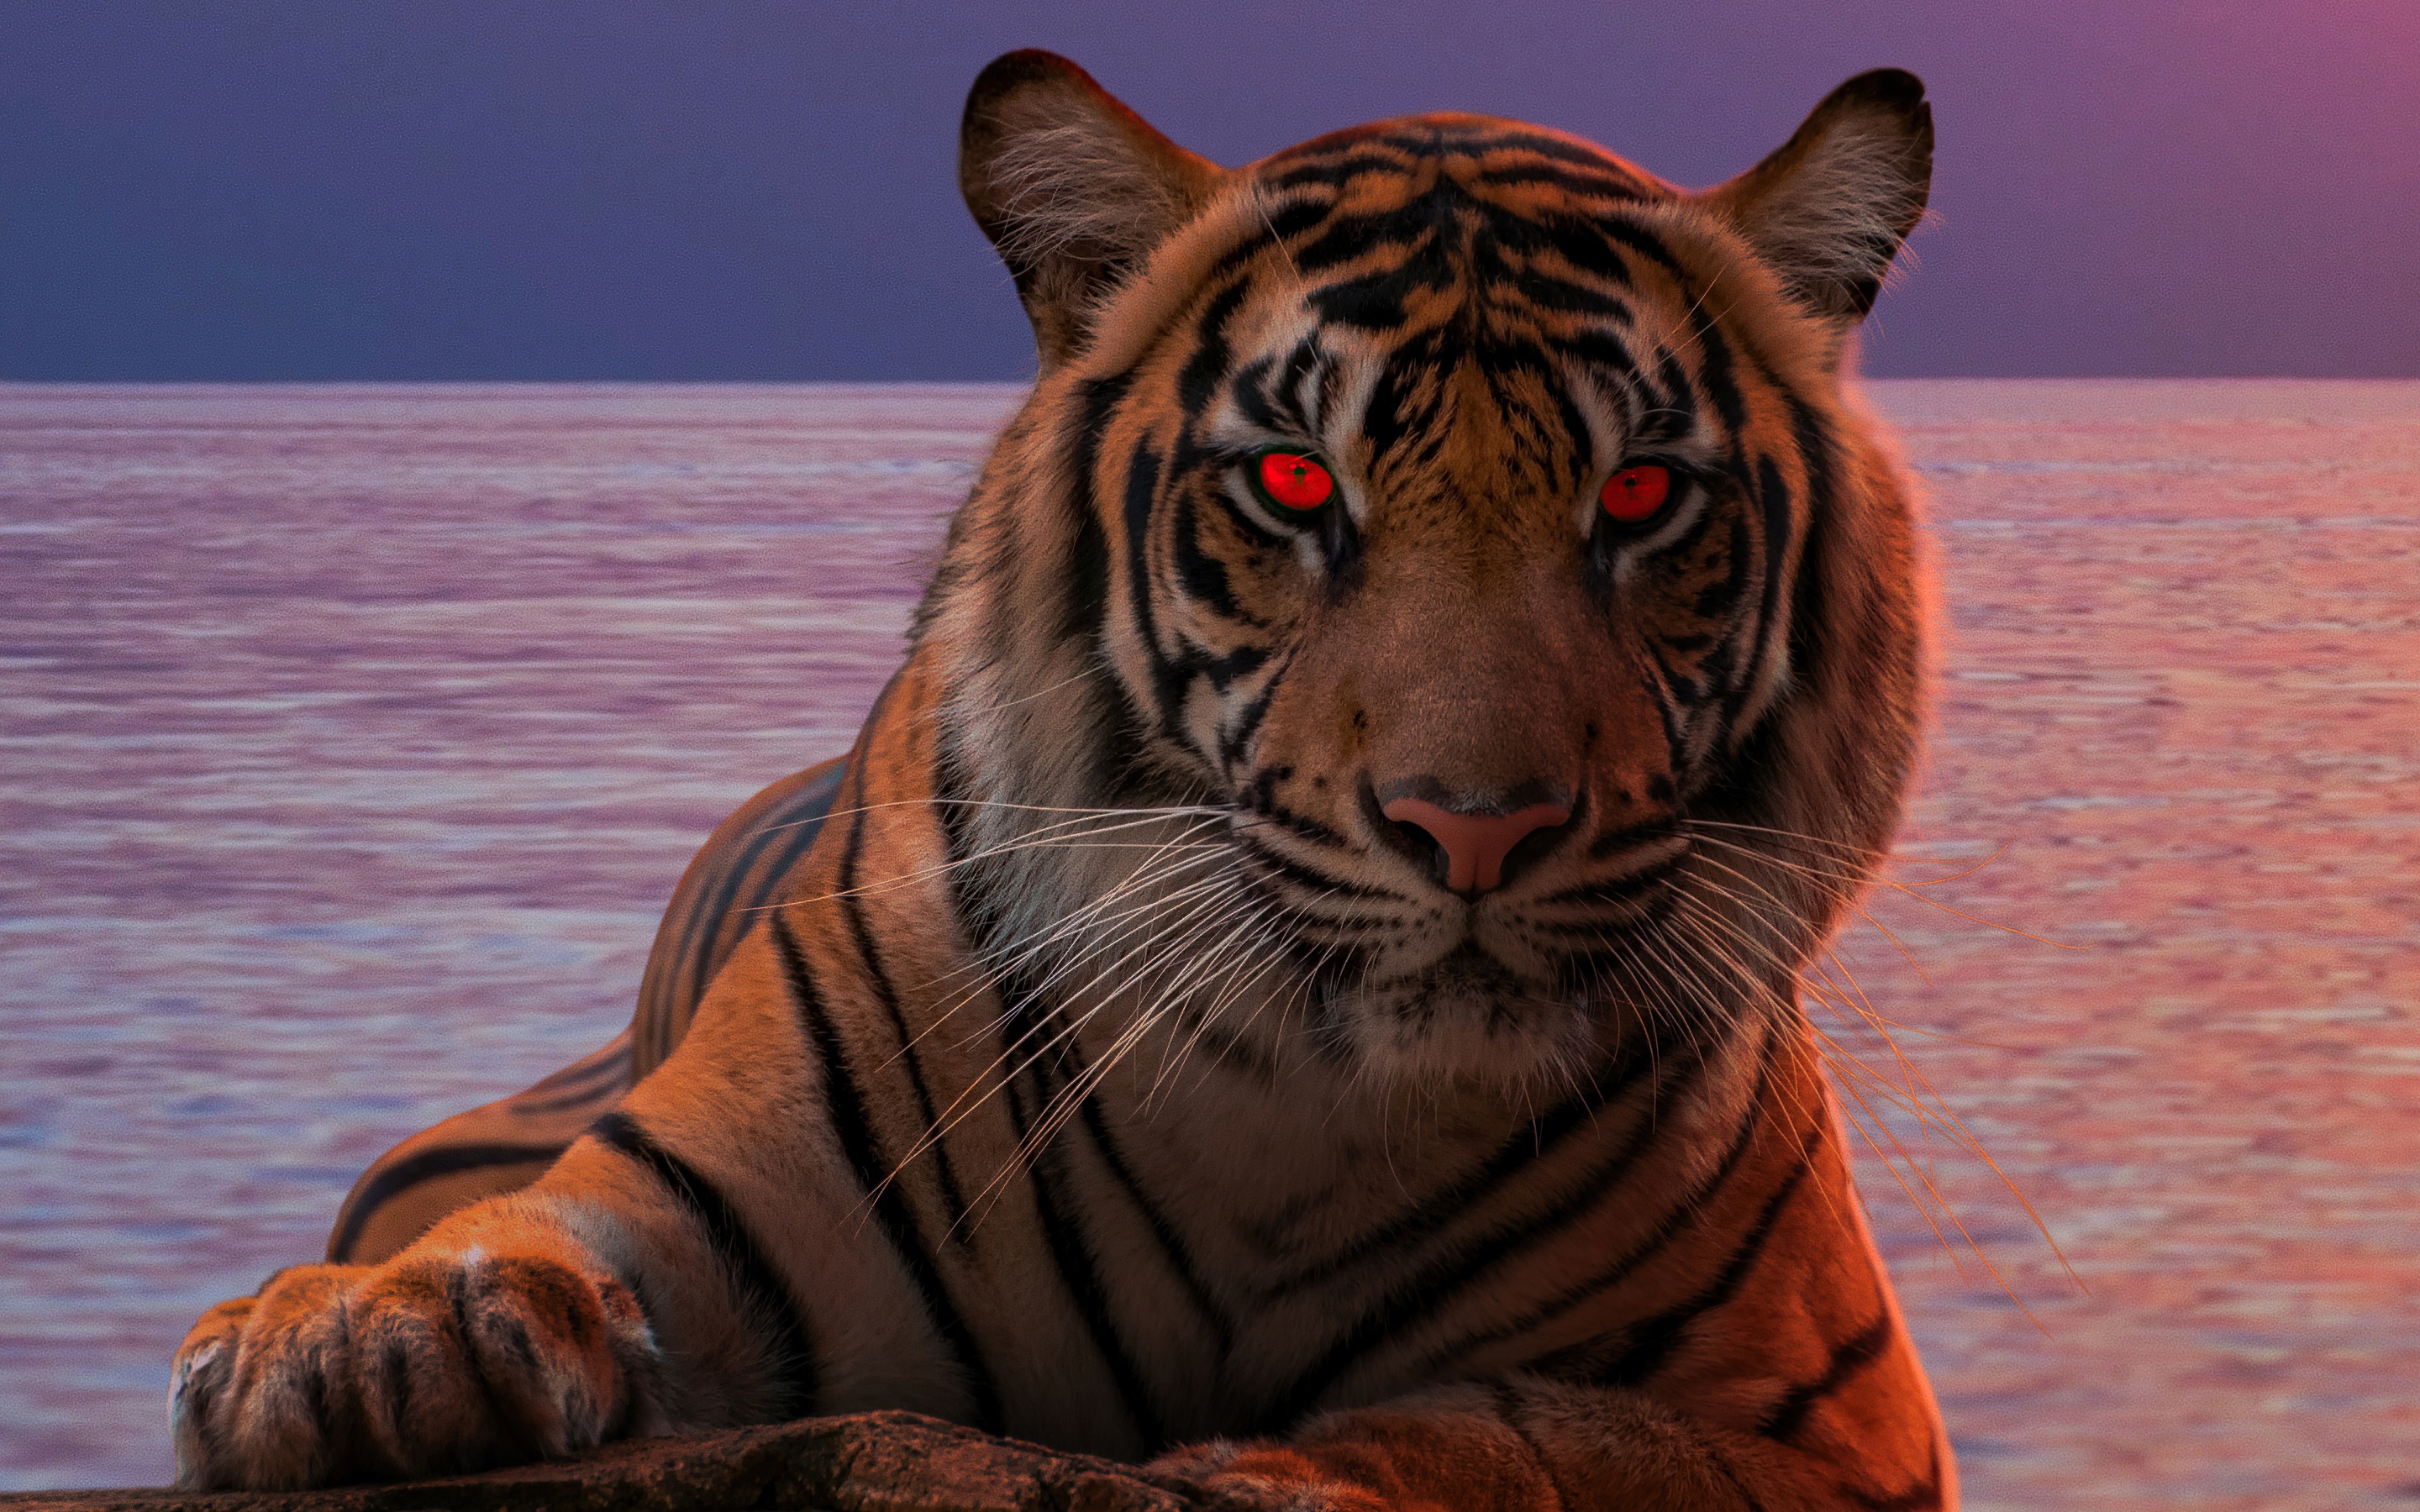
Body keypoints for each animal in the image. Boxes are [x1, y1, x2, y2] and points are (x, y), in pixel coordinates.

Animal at [170, 48, 1952, 1511]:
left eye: (1641, 494)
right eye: (1294, 481)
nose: (1476, 829)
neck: (1295, 1114)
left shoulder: (1831, 1430)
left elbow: (1531, 1435)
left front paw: (1277, 1472)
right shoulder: (698, 1192)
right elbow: (534, 1235)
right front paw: (362, 1345)